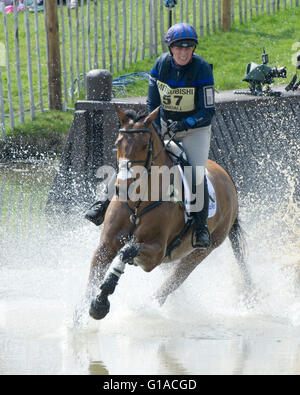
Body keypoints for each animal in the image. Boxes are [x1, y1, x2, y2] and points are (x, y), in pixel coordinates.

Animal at [85, 106, 250, 322]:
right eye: (117, 143)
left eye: (144, 145)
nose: (123, 188)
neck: (138, 202)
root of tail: (228, 179)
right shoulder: (106, 245)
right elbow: (89, 286)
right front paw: (77, 322)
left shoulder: (155, 254)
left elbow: (127, 250)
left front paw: (101, 302)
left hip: (202, 250)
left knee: (171, 284)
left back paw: (147, 309)